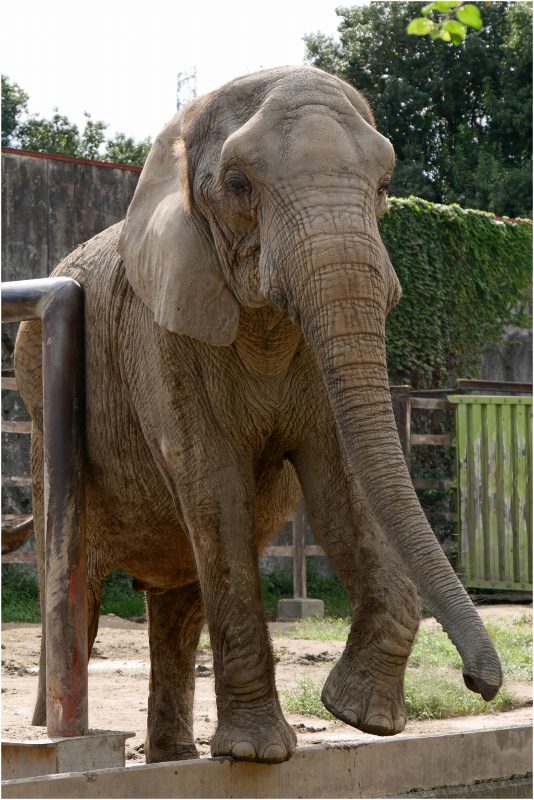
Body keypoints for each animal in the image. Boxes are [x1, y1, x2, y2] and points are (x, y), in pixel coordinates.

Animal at [14, 65, 504, 764]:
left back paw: (174, 757)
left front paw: (362, 717)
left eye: (385, 187)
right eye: (239, 185)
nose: (479, 683)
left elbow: (340, 482)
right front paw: (258, 754)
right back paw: (54, 736)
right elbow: (216, 489)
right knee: (80, 592)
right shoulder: (160, 336)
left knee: (179, 603)